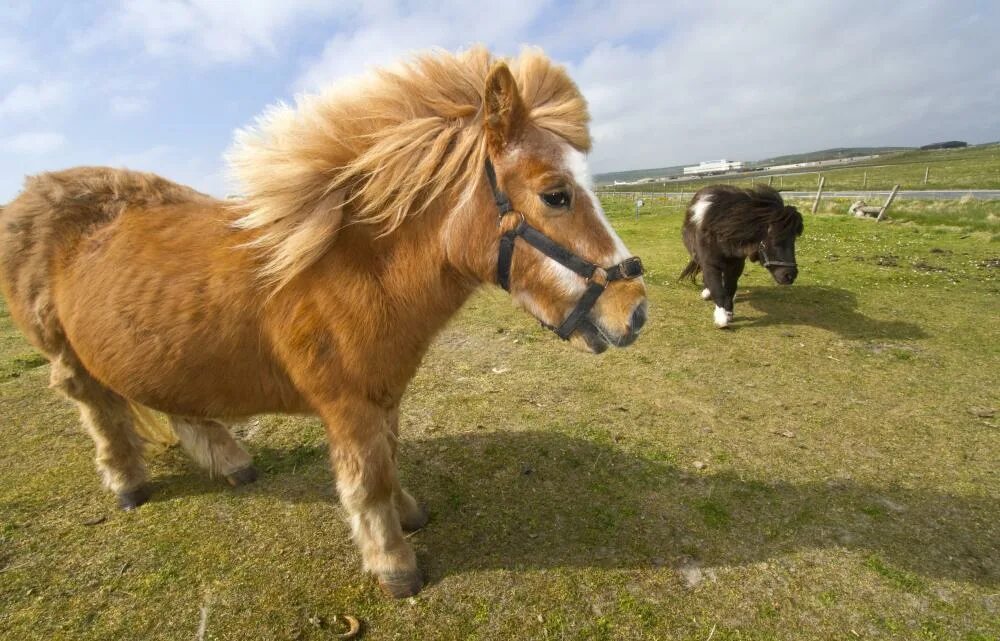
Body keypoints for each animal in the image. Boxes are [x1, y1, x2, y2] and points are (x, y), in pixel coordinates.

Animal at [0, 45, 648, 596]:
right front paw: (394, 565)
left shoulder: (383, 396)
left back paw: (231, 464)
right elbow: (369, 480)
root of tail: (31, 196)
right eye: (556, 194)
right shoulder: (348, 407)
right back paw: (127, 483)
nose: (635, 310)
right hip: (67, 354)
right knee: (101, 412)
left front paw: (408, 516)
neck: (352, 267)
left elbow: (389, 462)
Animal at [680, 182, 804, 328]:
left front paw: (728, 312)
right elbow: (716, 287)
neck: (720, 232)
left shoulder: (736, 264)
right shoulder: (710, 263)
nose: (790, 275)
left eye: (793, 240)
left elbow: (730, 287)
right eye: (775, 241)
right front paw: (721, 318)